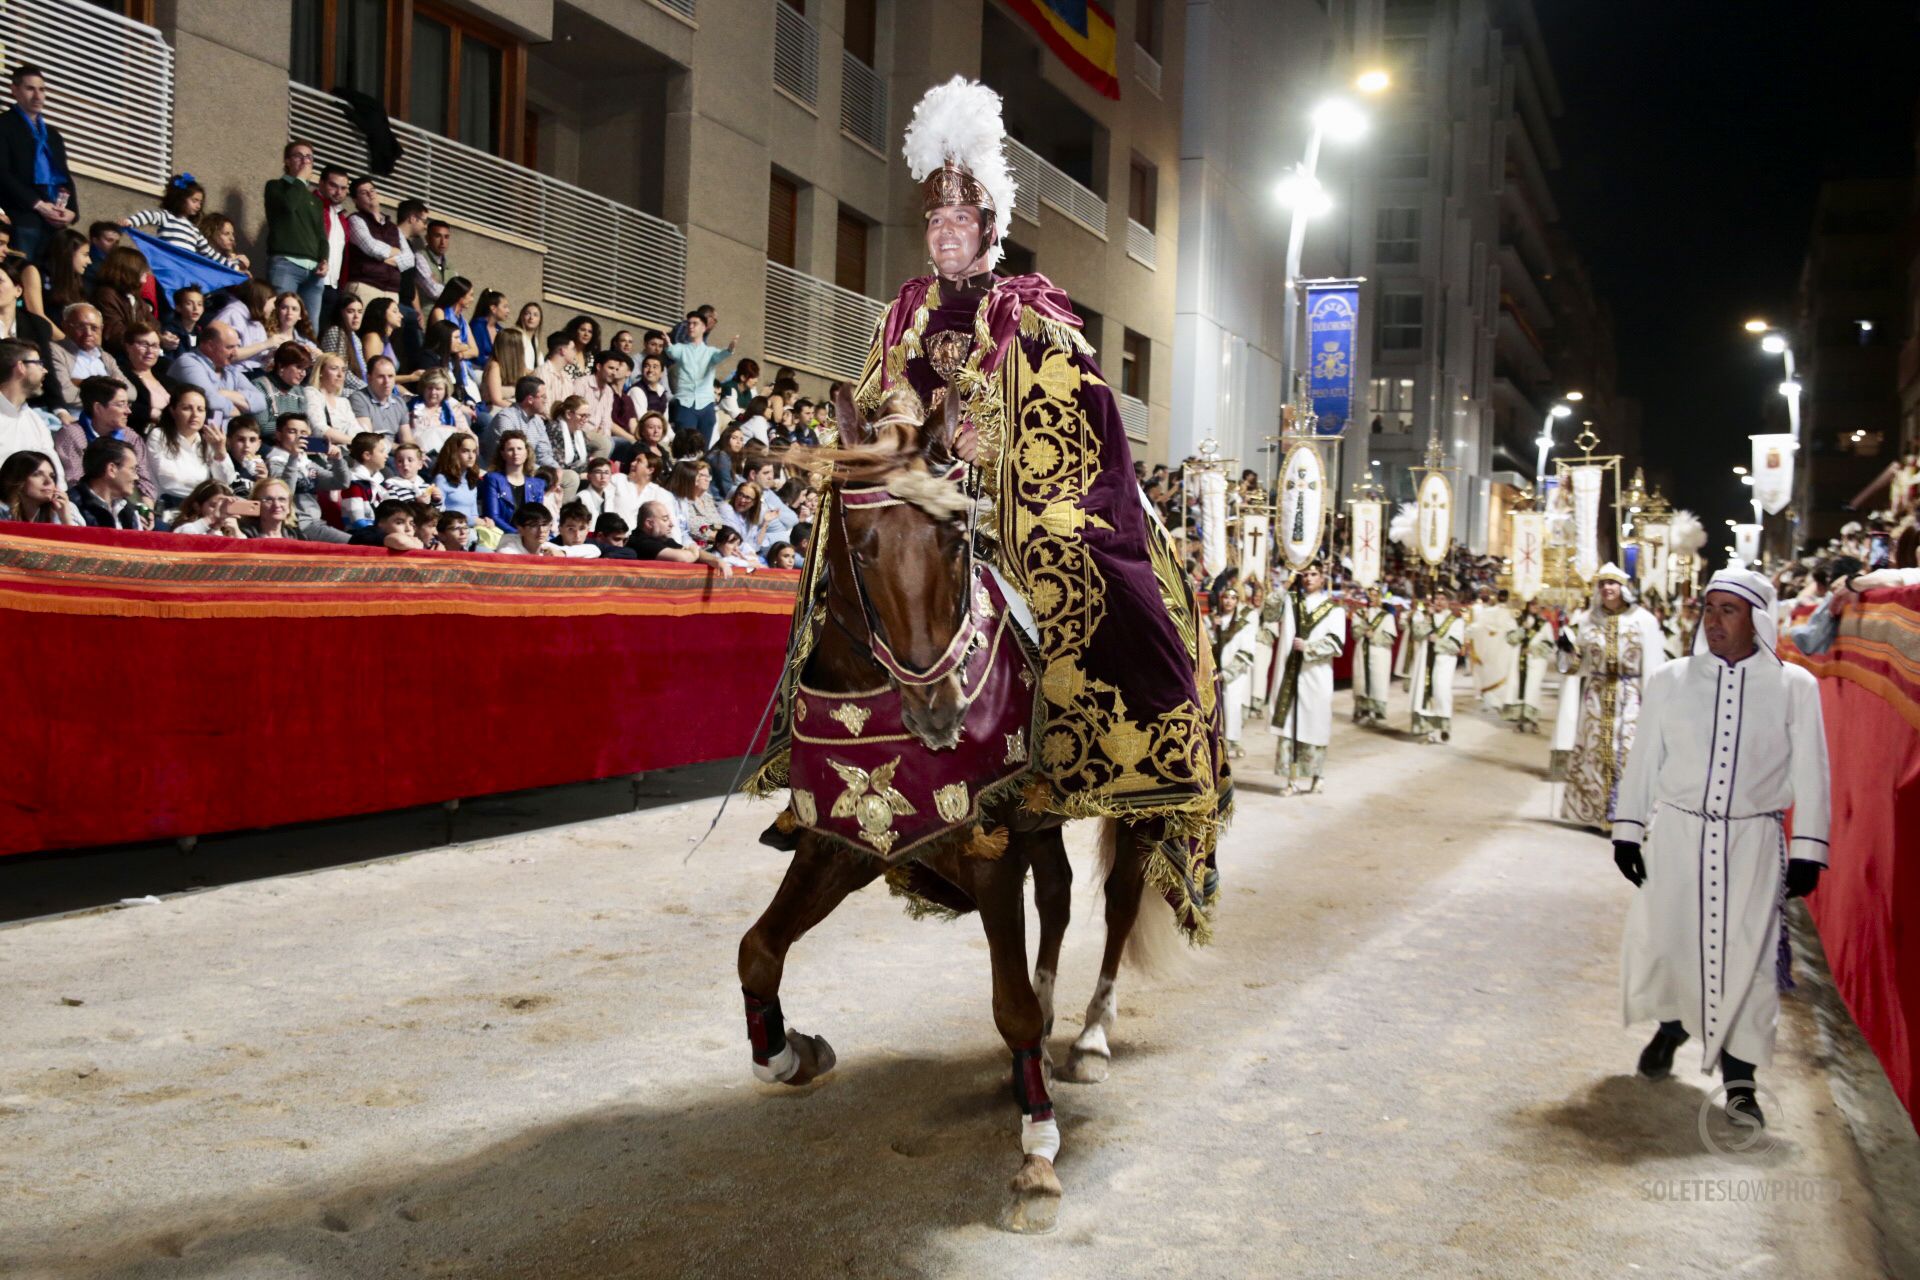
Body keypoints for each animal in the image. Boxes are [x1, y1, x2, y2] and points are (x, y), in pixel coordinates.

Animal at [729, 383, 1152, 1228]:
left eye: (957, 541)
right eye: (861, 546)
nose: (938, 709)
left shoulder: (982, 849)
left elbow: (1009, 1002)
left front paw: (1038, 1156)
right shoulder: (845, 841)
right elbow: (758, 951)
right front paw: (791, 1053)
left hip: (1135, 808)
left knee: (1118, 904)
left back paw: (1089, 1040)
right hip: (1034, 823)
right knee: (1058, 897)